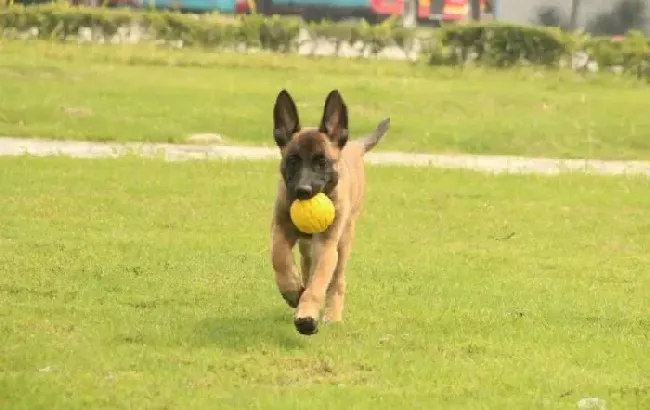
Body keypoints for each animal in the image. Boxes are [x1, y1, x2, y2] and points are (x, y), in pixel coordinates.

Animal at [270, 88, 390, 334]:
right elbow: (279, 257)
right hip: (307, 246)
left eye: (322, 162)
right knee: (307, 266)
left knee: (337, 280)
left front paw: (306, 316)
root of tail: (353, 145)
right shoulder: (280, 228)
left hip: (343, 241)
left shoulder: (326, 244)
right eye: (292, 161)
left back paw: (332, 315)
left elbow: (319, 283)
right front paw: (291, 290)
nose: (303, 191)